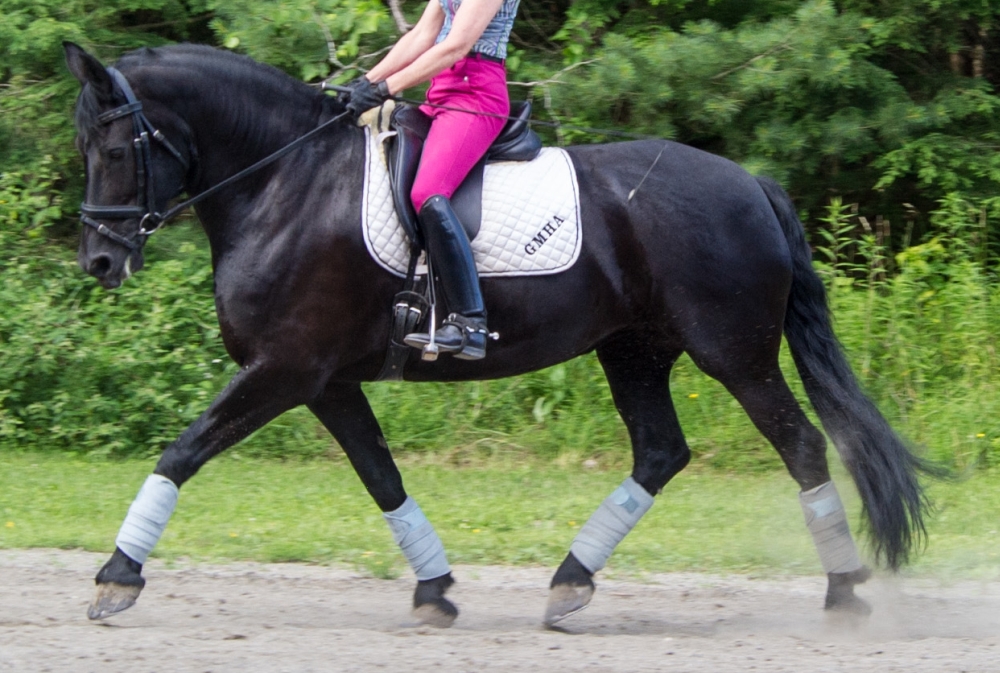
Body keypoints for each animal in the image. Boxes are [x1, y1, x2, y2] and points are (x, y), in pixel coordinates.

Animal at [63, 41, 927, 628]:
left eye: (115, 147)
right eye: (85, 147)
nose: (100, 260)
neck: (285, 182)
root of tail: (750, 180)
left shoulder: (285, 368)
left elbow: (182, 450)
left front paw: (116, 577)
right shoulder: (327, 381)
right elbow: (381, 475)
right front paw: (434, 588)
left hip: (735, 354)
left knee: (802, 444)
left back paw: (843, 590)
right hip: (634, 349)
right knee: (660, 452)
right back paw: (571, 581)